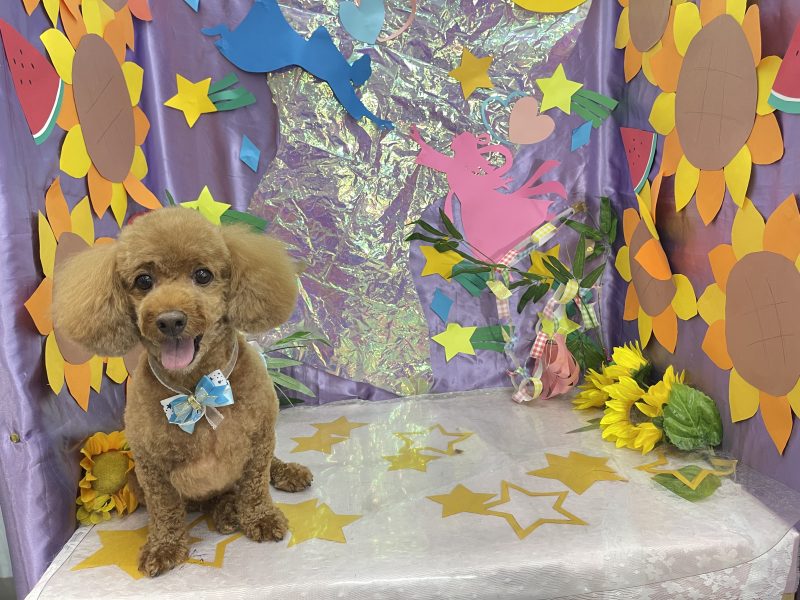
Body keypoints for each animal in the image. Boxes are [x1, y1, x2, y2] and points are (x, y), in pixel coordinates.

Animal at [53, 207, 312, 577]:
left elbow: (255, 486)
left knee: (266, 468)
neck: (195, 390)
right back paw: (226, 510)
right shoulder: (150, 466)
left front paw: (261, 519)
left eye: (202, 275)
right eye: (143, 281)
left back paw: (284, 475)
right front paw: (163, 547)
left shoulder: (260, 438)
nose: (170, 320)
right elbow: (164, 510)